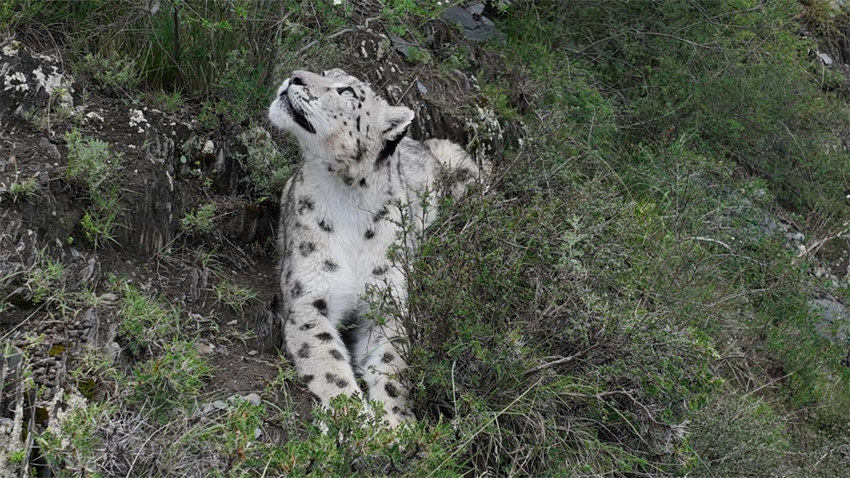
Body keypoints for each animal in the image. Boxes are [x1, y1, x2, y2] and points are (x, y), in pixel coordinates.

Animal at [268, 66, 486, 426]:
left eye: (347, 92)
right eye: (324, 72)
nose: (295, 77)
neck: (347, 198)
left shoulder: (388, 304)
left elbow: (391, 365)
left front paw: (396, 425)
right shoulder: (308, 298)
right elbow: (329, 362)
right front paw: (355, 421)